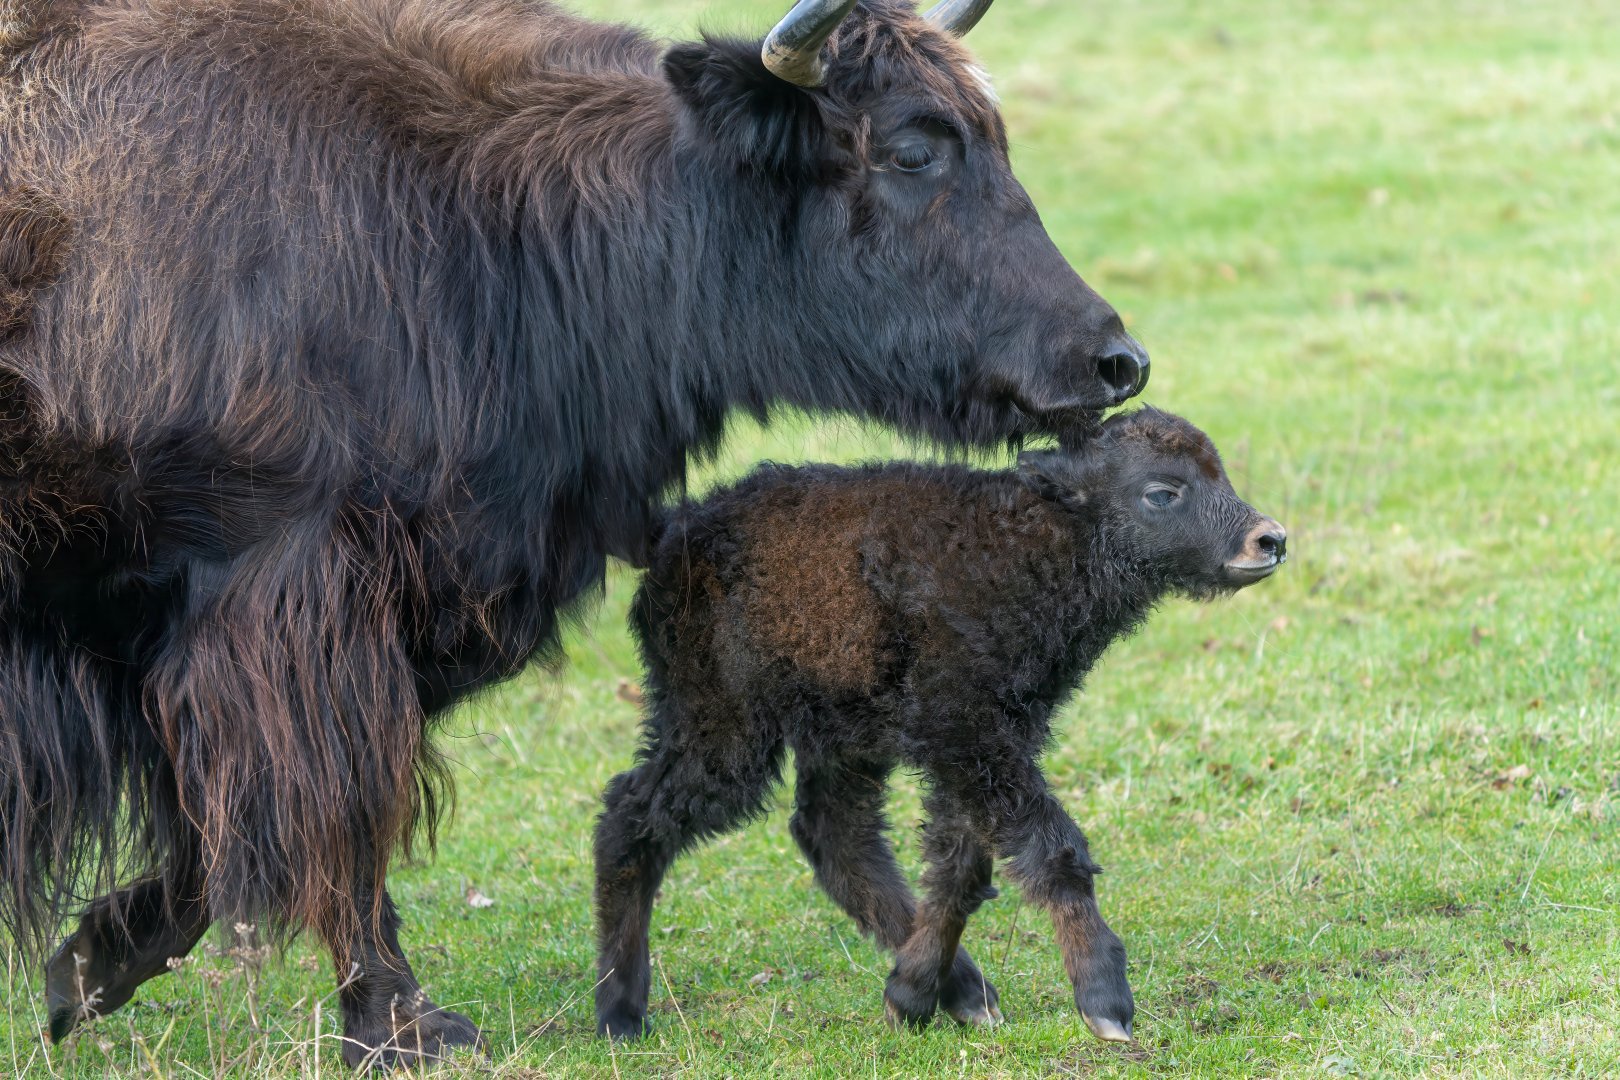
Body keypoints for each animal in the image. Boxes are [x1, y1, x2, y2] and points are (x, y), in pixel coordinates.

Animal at [0, 0, 1148, 1065]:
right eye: (912, 149)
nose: (1114, 362)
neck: (478, 212)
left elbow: (229, 827)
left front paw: (81, 971)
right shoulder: (288, 596)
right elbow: (332, 812)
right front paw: (408, 1026)